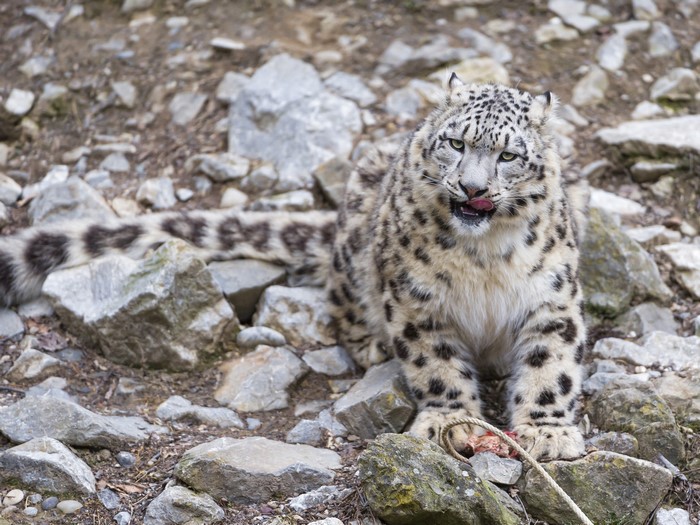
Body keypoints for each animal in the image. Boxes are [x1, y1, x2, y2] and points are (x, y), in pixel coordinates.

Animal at [0, 77, 586, 461]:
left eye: (508, 156)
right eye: (456, 143)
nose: (471, 188)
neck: (484, 258)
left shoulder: (552, 298)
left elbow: (550, 367)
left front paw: (549, 432)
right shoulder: (416, 299)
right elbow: (436, 363)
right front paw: (452, 419)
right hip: (357, 242)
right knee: (342, 296)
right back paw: (370, 343)